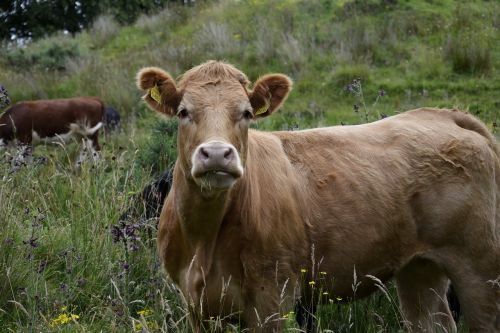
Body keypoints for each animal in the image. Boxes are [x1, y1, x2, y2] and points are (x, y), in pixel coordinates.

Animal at [137, 61, 500, 332]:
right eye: (184, 112)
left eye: (246, 113)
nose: (215, 154)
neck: (204, 238)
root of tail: (443, 114)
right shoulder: (196, 307)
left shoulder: (273, 299)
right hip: (419, 268)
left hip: (480, 265)